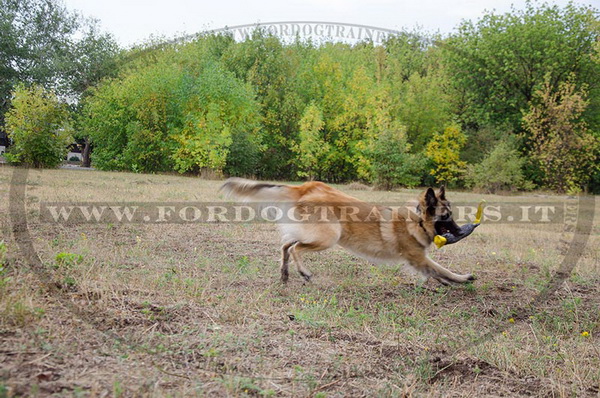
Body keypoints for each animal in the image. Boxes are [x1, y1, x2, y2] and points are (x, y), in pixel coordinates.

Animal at [219, 178, 474, 286]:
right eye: (446, 216)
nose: (462, 230)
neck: (417, 220)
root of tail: (306, 187)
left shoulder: (419, 259)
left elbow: (436, 272)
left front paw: (449, 282)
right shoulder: (418, 257)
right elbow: (441, 269)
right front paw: (461, 279)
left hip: (311, 233)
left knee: (285, 246)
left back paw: (285, 274)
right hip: (329, 236)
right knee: (294, 249)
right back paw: (303, 272)